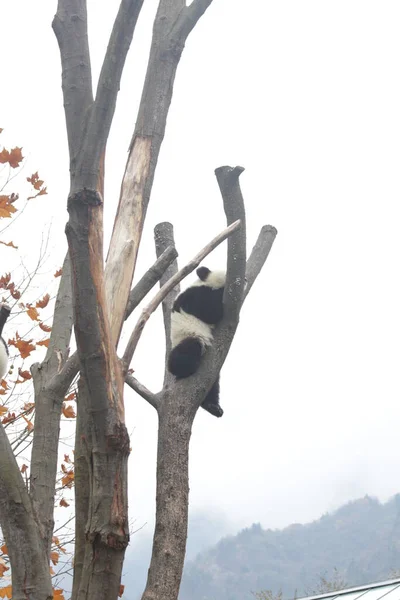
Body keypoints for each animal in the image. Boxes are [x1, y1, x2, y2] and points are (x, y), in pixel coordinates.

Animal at [168, 268, 225, 418]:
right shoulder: (195, 297)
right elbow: (212, 311)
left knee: (214, 384)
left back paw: (213, 407)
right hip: (187, 337)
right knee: (188, 350)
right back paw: (183, 370)